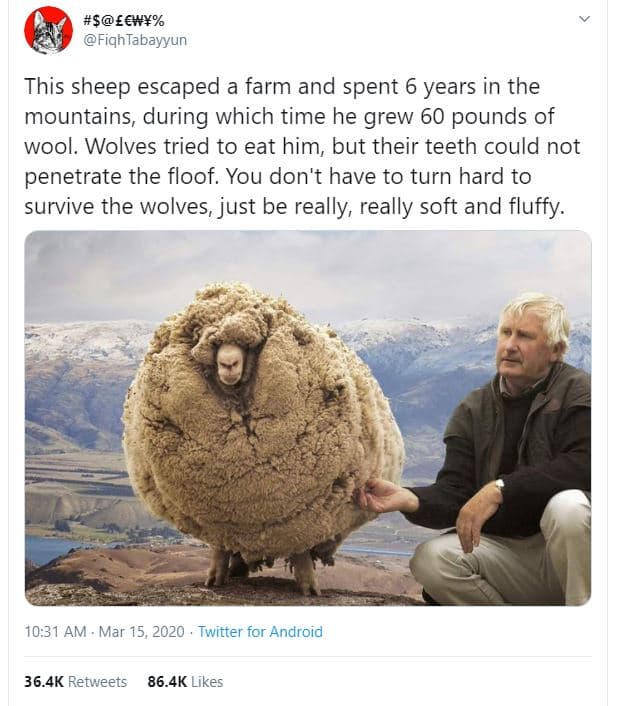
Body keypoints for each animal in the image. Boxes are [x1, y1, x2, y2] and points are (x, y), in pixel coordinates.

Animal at [123, 282, 404, 596]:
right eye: (208, 342)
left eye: (250, 346)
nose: (229, 363)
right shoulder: (217, 517)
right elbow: (219, 546)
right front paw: (215, 577)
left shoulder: (307, 515)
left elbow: (301, 549)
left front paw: (308, 585)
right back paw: (235, 569)